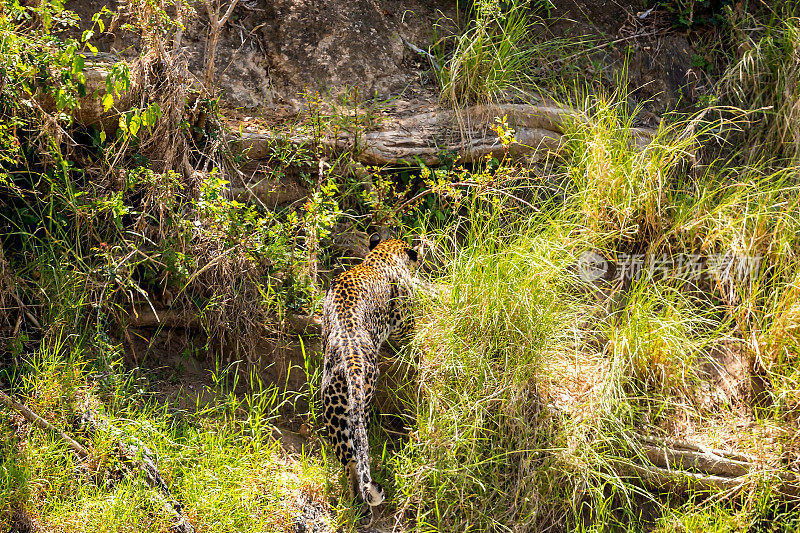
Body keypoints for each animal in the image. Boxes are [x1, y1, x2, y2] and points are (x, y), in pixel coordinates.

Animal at [320, 235, 418, 520]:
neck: (379, 258)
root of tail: (350, 361)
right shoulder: (403, 319)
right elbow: (412, 333)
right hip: (362, 400)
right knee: (358, 455)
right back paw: (364, 505)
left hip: (334, 409)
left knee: (349, 460)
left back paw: (355, 504)